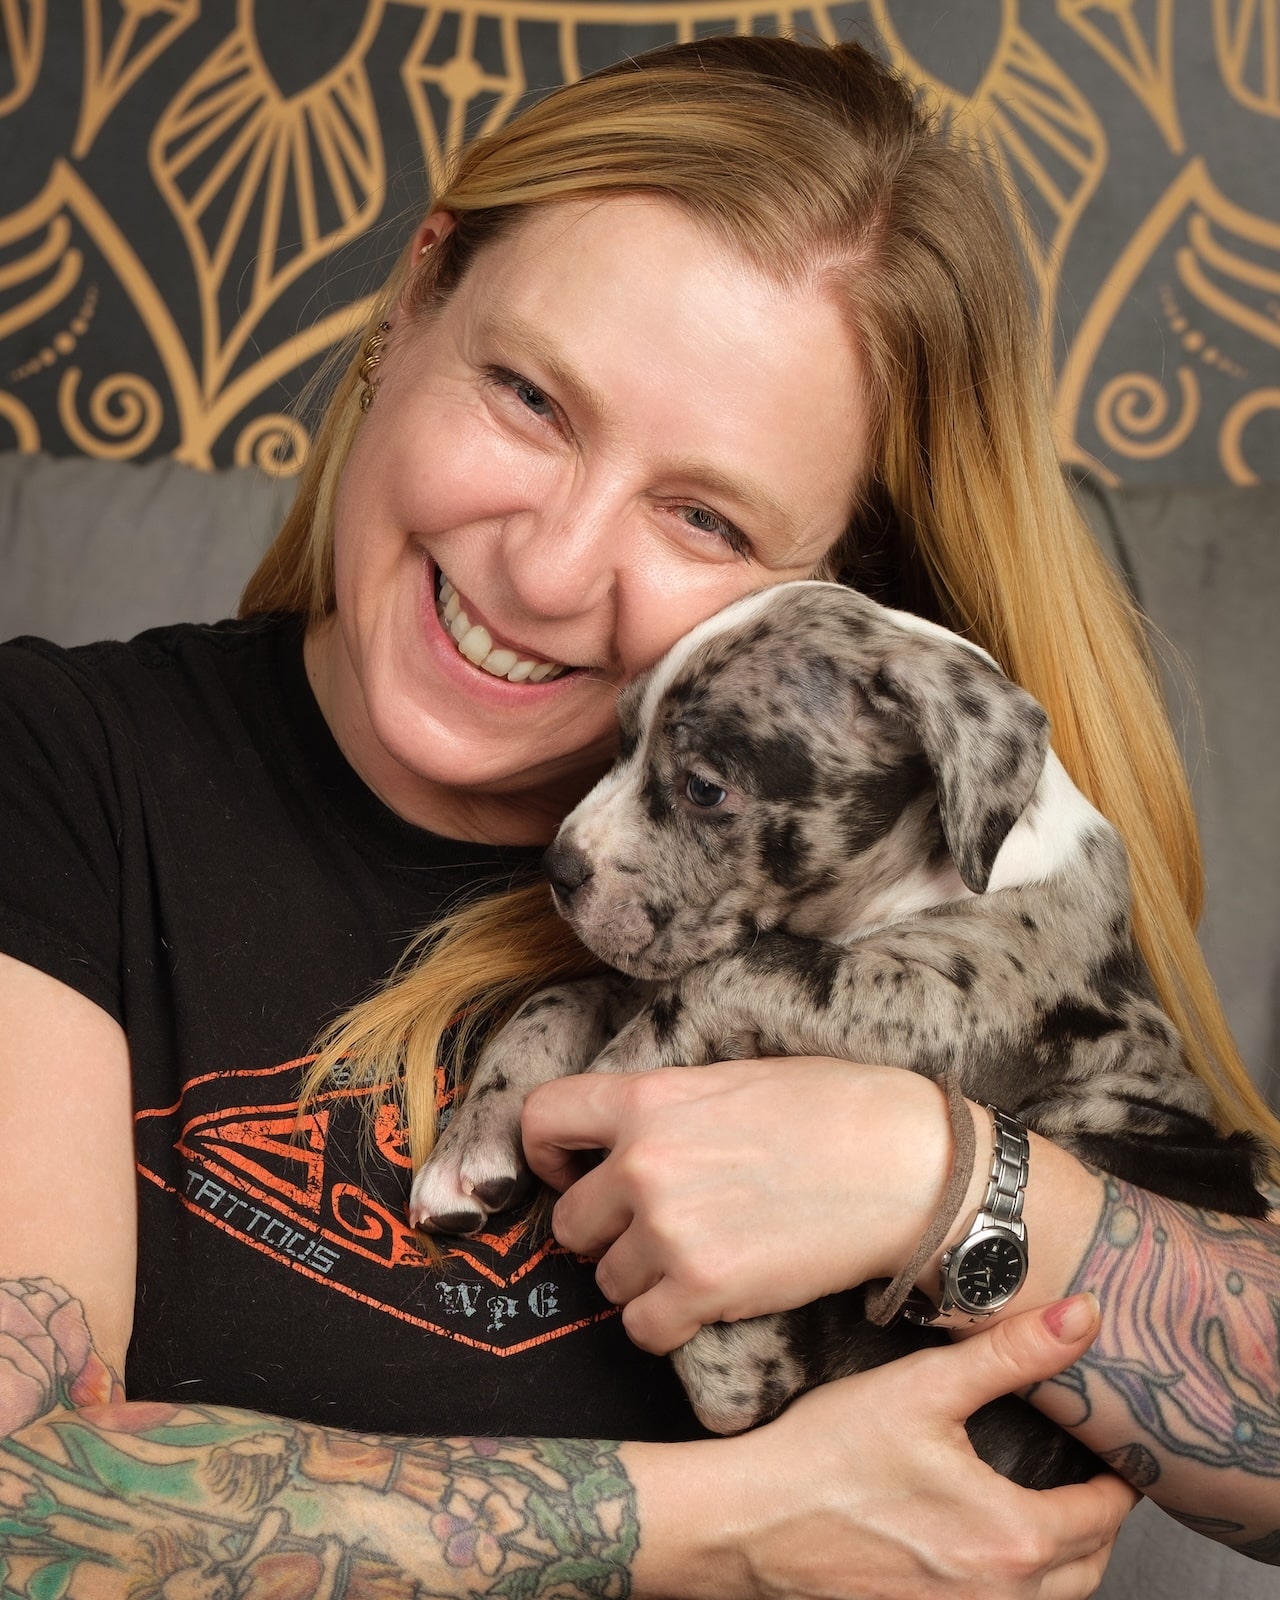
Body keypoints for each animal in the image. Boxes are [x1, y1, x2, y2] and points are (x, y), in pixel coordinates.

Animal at [408, 579, 1260, 1484]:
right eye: (620, 742)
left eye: (704, 789)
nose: (559, 869)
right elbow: (561, 997)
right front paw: (471, 1146)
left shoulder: (945, 1005)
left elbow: (738, 970)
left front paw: (612, 1086)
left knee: (738, 1380)